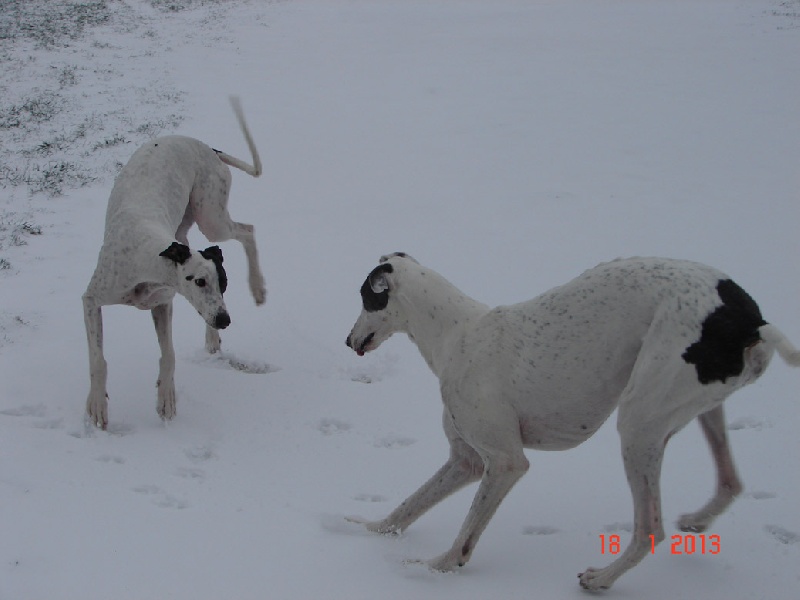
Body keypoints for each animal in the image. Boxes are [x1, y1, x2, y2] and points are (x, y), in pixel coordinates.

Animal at [84, 96, 266, 428]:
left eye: (224, 283)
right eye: (199, 281)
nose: (225, 320)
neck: (145, 254)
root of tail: (207, 147)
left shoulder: (162, 304)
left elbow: (168, 355)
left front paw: (166, 399)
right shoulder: (91, 300)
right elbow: (97, 359)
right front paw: (97, 407)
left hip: (210, 216)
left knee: (247, 231)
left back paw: (255, 290)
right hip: (201, 222)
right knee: (244, 231)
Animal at [346, 252, 800, 592]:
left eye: (366, 298)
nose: (349, 341)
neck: (457, 334)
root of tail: (752, 321)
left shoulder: (505, 462)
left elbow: (462, 541)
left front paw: (430, 569)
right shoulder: (466, 460)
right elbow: (406, 508)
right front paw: (365, 529)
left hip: (639, 422)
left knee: (649, 528)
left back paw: (602, 579)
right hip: (700, 407)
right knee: (730, 482)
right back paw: (698, 519)